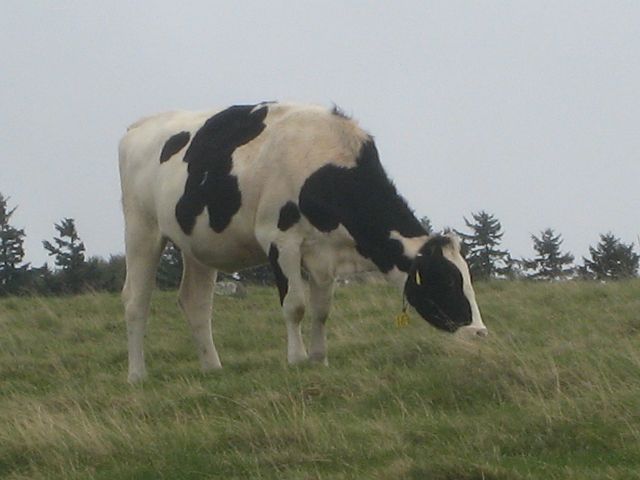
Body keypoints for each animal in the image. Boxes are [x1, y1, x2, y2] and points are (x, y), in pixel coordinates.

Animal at [119, 102, 486, 382]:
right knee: (135, 301)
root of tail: (137, 126)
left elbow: (321, 311)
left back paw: (213, 369)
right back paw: (137, 375)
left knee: (195, 302)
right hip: (141, 229)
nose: (480, 332)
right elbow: (295, 305)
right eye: (446, 281)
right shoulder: (279, 239)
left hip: (199, 245)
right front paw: (296, 359)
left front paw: (319, 358)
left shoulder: (326, 254)